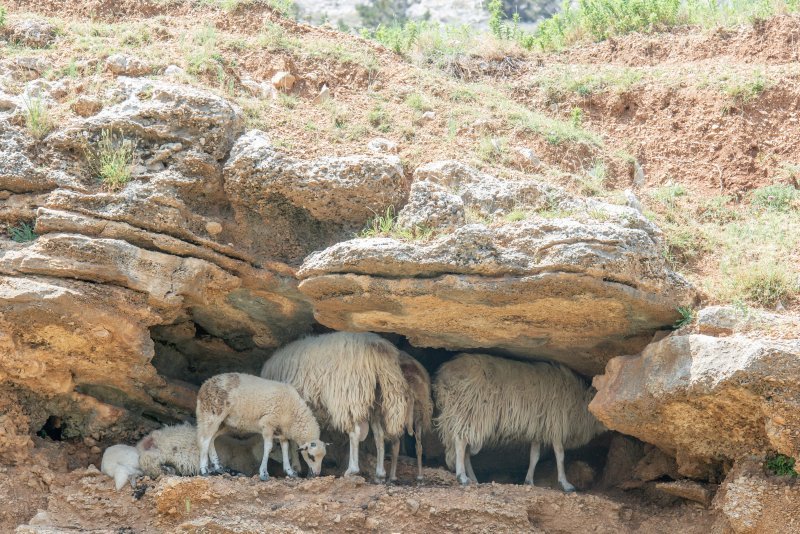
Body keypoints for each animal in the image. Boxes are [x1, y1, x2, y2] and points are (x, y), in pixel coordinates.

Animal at [196, 372, 324, 482]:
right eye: (311, 456)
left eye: (322, 457)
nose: (317, 474)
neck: (293, 412)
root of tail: (206, 383)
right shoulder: (268, 424)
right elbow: (268, 447)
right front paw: (264, 473)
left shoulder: (282, 432)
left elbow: (285, 448)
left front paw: (290, 471)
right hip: (211, 414)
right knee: (204, 440)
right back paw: (204, 470)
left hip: (224, 423)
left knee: (212, 438)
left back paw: (218, 467)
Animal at [262, 332, 410, 484]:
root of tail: (377, 350)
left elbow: (292, 441)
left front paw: (296, 466)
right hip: (376, 404)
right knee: (379, 435)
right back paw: (380, 474)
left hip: (348, 395)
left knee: (355, 433)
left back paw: (352, 470)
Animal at [434, 354, 604, 492]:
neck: (580, 405)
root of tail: (445, 375)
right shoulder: (555, 425)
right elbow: (560, 455)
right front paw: (565, 484)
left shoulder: (539, 428)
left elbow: (534, 456)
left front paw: (529, 481)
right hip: (469, 411)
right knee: (461, 441)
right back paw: (462, 477)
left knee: (466, 448)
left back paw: (473, 479)